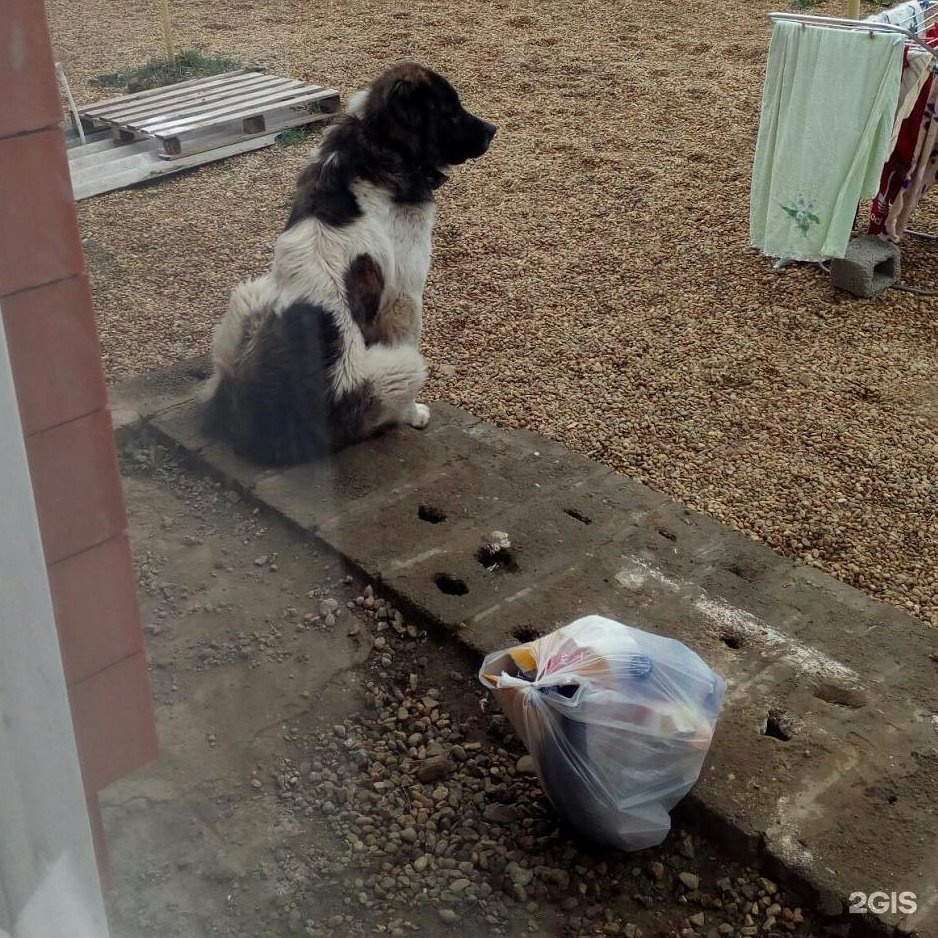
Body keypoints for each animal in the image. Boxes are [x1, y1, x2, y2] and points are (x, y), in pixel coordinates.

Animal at [203, 62, 498, 464]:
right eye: (450, 112)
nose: (492, 130)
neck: (378, 144)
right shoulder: (404, 298)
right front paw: (415, 414)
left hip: (250, 293)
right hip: (401, 368)